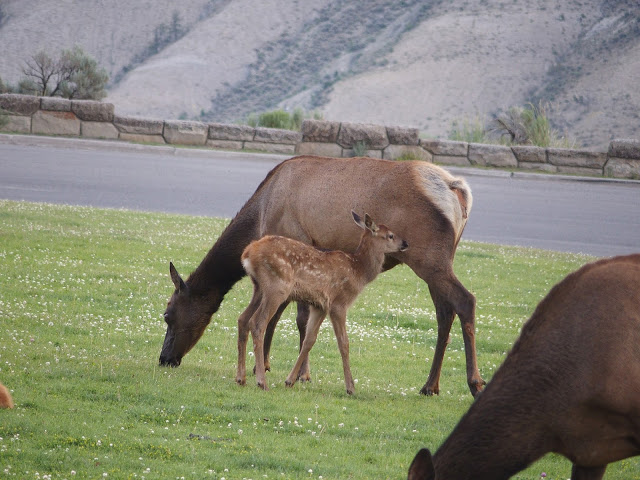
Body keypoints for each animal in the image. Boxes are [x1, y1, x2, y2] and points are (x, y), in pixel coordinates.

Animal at [236, 211, 408, 394]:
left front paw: (290, 380)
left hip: (259, 288)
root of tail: (248, 253)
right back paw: (261, 382)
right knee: (257, 323)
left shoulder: (320, 306)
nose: (405, 243)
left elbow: (309, 340)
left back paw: (240, 378)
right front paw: (350, 387)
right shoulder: (339, 303)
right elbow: (344, 343)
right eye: (390, 235)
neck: (358, 271)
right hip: (277, 287)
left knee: (243, 319)